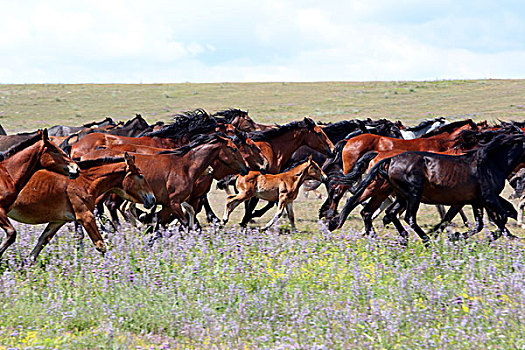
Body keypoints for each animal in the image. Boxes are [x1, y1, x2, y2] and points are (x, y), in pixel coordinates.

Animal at [7, 154, 155, 260]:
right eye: (141, 175)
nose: (152, 199)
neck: (84, 182)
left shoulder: (57, 221)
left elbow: (41, 243)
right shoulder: (86, 217)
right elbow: (101, 245)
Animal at [328, 135, 524, 246]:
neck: (490, 162)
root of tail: (386, 159)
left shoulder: (476, 200)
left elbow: (481, 222)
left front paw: (456, 236)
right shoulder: (486, 198)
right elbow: (501, 216)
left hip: (398, 194)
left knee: (377, 211)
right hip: (407, 194)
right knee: (402, 216)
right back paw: (424, 240)